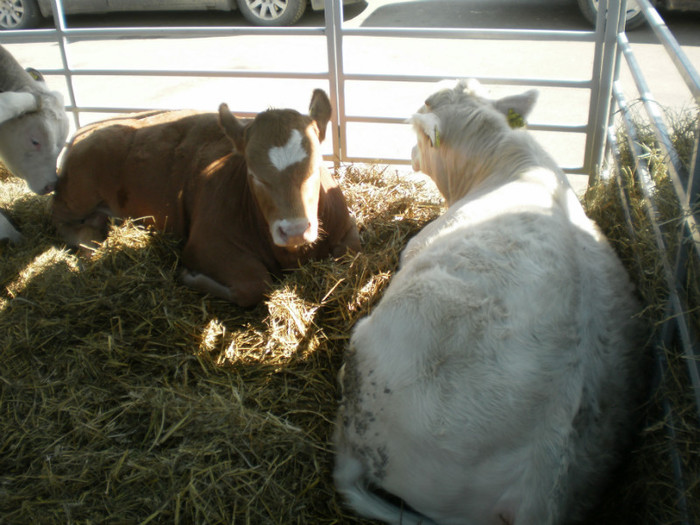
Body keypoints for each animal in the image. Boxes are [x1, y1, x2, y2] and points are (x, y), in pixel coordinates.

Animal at [53, 88, 360, 304]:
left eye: (315, 166)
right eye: (254, 173)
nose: (295, 230)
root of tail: (88, 127)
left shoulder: (348, 230)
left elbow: (348, 254)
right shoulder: (203, 244)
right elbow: (254, 284)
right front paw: (190, 275)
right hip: (75, 194)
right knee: (61, 220)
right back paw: (89, 243)